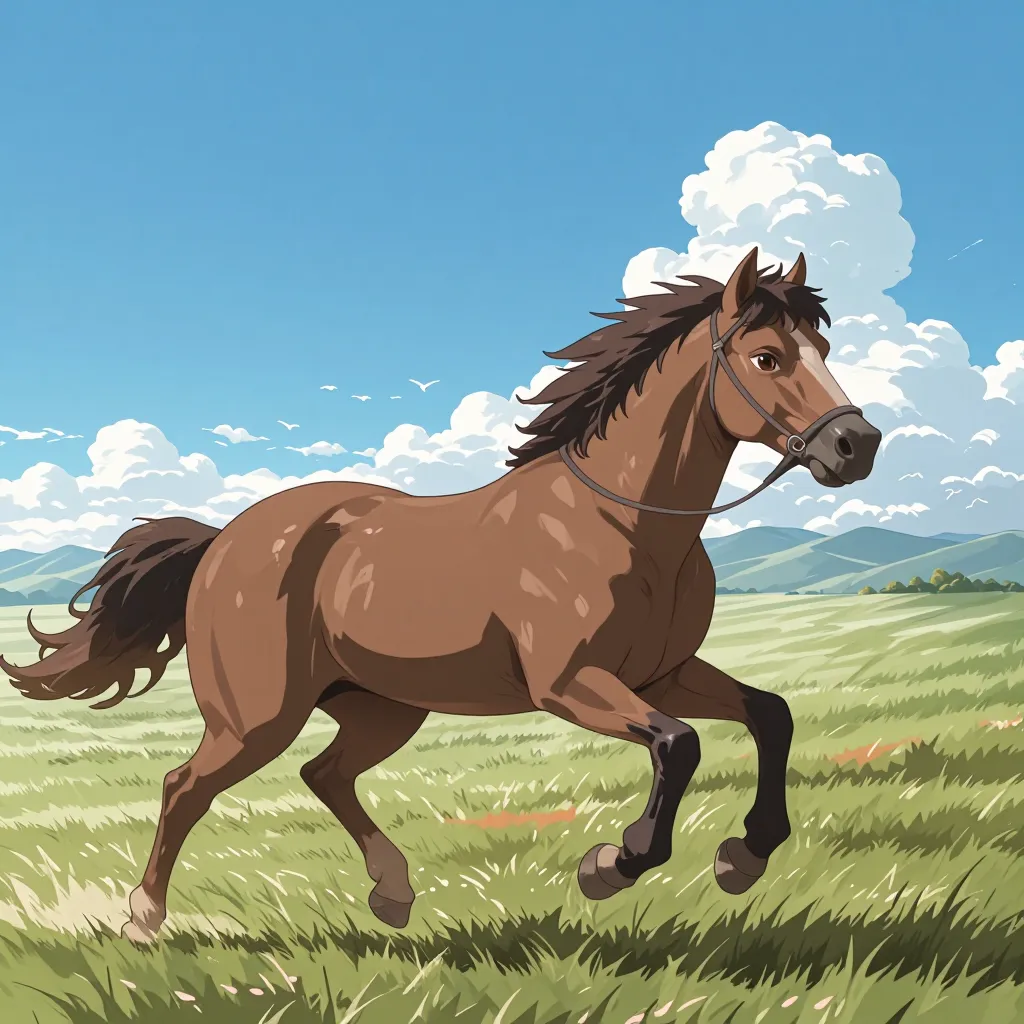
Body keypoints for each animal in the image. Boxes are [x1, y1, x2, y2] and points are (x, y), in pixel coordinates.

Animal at [1, 246, 881, 943]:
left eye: (823, 345)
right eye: (766, 357)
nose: (857, 444)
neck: (622, 526)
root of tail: (224, 541)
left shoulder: (662, 674)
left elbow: (771, 714)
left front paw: (744, 855)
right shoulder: (572, 684)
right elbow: (680, 746)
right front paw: (612, 864)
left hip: (383, 707)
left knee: (324, 775)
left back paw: (392, 892)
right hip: (257, 717)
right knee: (185, 788)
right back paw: (143, 919)